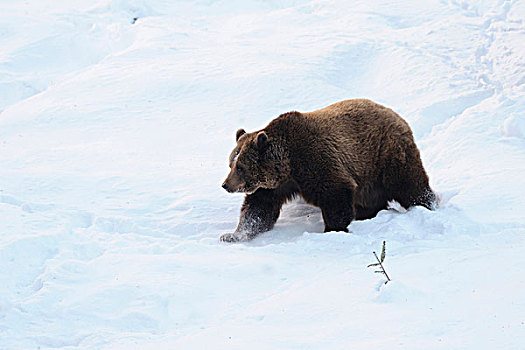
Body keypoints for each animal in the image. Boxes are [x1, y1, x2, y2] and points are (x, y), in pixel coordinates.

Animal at [219, 97, 436, 242]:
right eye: (231, 163)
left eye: (240, 167)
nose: (225, 185)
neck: (288, 165)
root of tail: (396, 115)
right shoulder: (275, 186)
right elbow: (258, 209)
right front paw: (233, 235)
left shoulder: (315, 160)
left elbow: (335, 194)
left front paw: (332, 230)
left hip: (386, 155)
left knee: (409, 184)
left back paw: (427, 205)